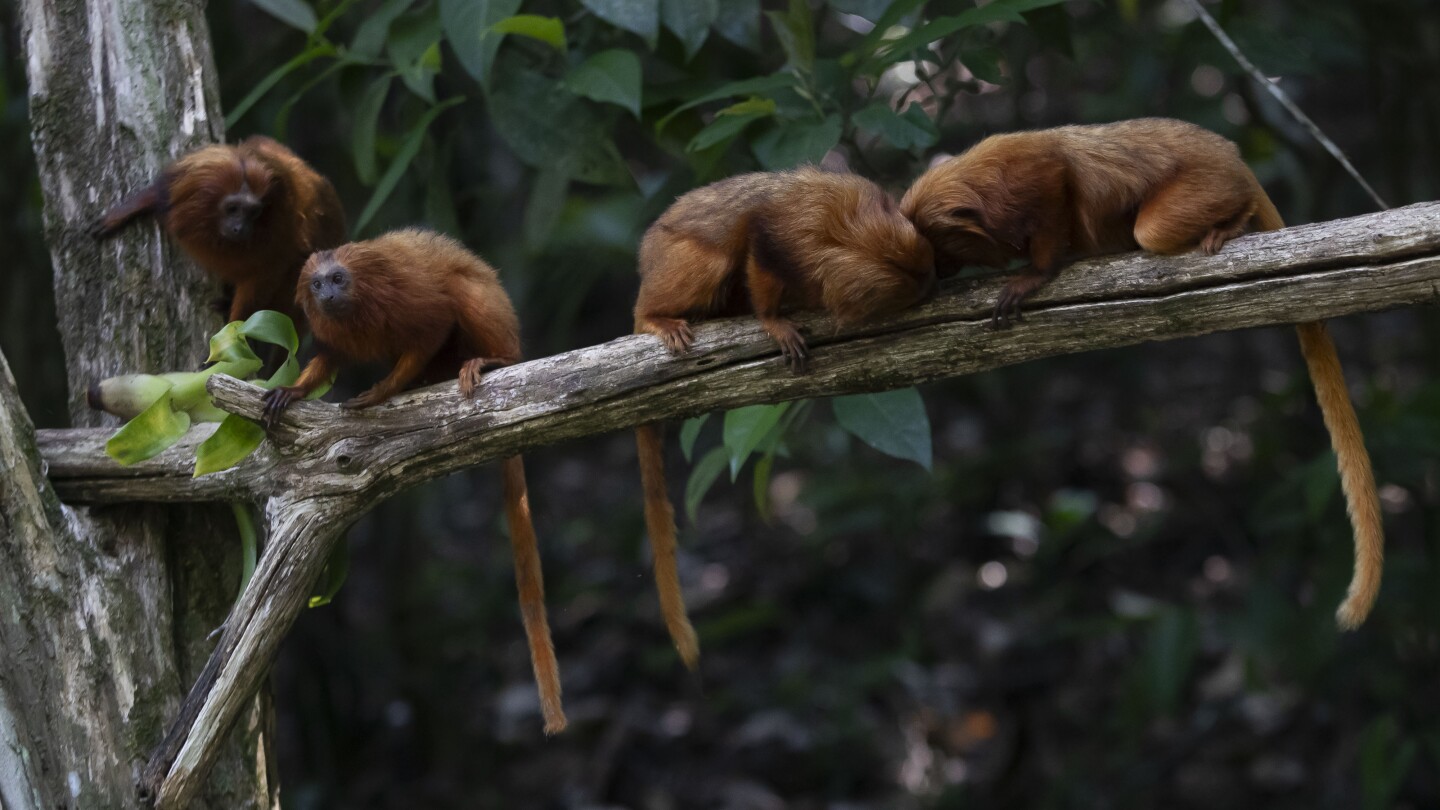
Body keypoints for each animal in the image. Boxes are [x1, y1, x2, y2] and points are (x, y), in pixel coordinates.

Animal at [262, 227, 564, 732]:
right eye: (318, 284)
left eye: (338, 279)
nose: (326, 295)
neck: (357, 305)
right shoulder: (332, 331)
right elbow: (328, 359)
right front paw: (294, 389)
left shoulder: (404, 299)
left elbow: (433, 322)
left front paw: (383, 390)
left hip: (500, 325)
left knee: (464, 290)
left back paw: (493, 360)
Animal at [630, 167, 933, 665]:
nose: (931, 284)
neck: (845, 229)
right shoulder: (784, 237)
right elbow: (757, 247)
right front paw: (772, 321)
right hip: (668, 265)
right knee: (708, 261)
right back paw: (656, 317)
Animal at [898, 116, 1382, 628]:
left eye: (938, 247)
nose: (936, 272)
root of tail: (1230, 157)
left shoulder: (1024, 176)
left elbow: (1057, 177)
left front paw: (1036, 274)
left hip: (1205, 182)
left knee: (1154, 229)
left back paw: (1234, 217)